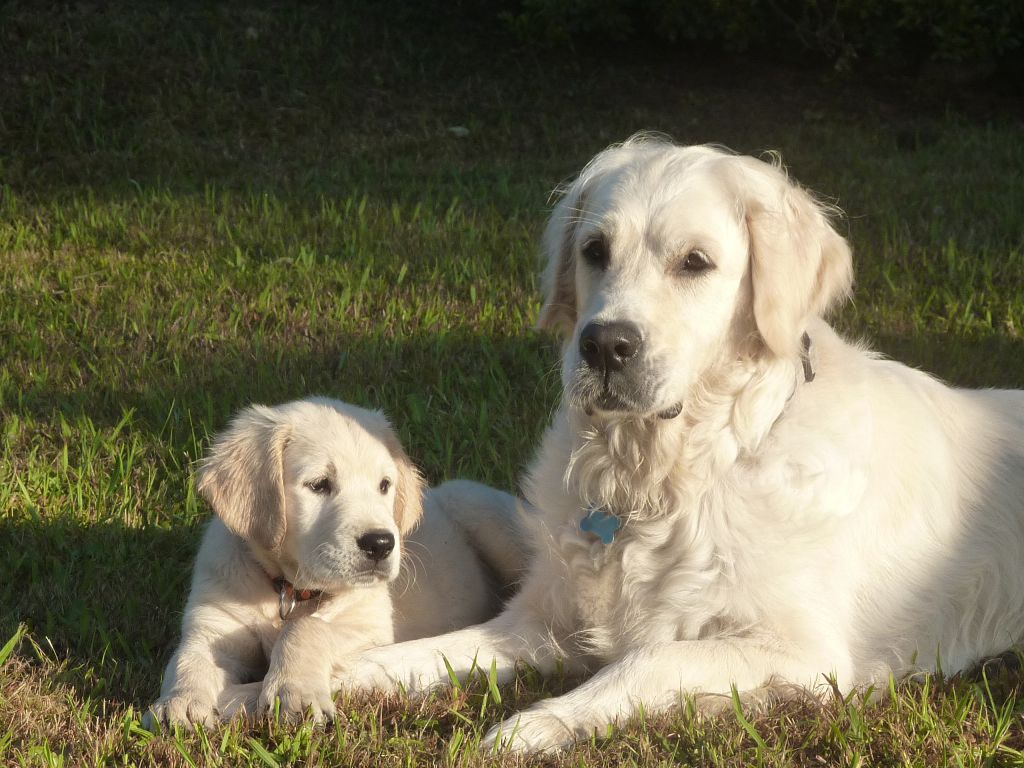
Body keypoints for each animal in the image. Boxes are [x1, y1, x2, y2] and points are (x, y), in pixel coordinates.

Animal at [143, 399, 524, 729]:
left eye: (384, 485)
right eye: (319, 485)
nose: (381, 543)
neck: (290, 590)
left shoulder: (370, 627)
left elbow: (308, 628)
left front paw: (293, 693)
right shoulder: (213, 626)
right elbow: (188, 658)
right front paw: (179, 703)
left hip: (476, 505)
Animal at [333, 137, 1024, 753]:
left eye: (695, 262)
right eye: (594, 250)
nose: (604, 346)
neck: (665, 477)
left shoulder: (805, 653)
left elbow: (649, 660)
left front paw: (532, 726)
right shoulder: (543, 618)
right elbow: (449, 646)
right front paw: (349, 671)